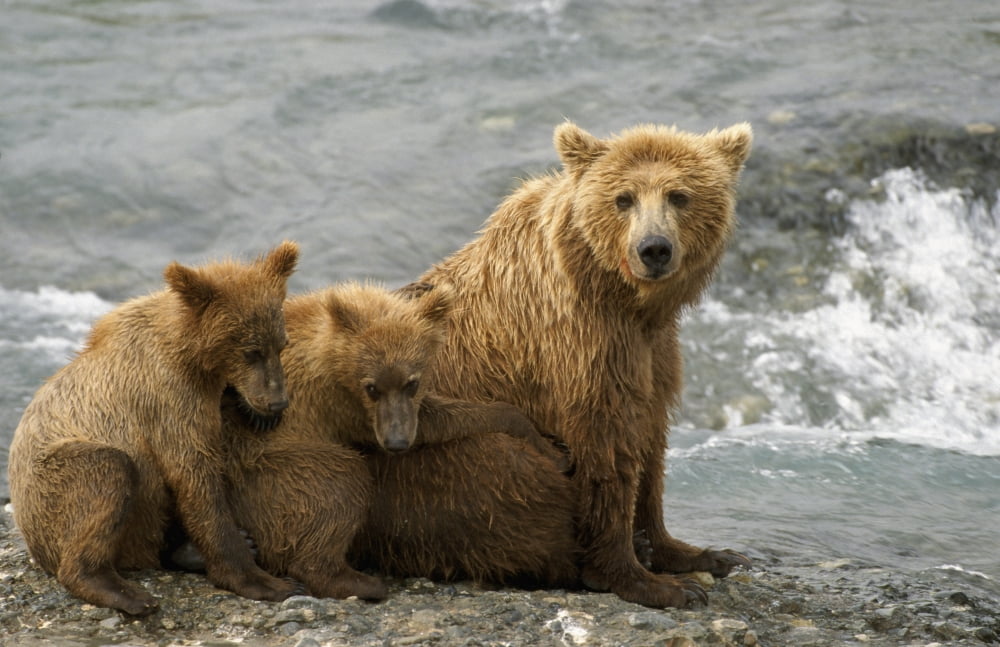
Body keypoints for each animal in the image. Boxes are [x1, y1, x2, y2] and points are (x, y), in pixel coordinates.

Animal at [7, 241, 301, 615]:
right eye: (251, 351)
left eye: (282, 344)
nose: (278, 403)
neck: (189, 354)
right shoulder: (166, 399)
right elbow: (196, 478)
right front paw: (265, 581)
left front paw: (254, 411)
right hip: (50, 488)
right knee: (109, 472)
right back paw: (127, 593)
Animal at [221, 281, 578, 595]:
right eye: (371, 387)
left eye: (411, 382)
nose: (396, 443)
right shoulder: (339, 403)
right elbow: (442, 419)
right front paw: (555, 450)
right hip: (272, 468)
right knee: (341, 482)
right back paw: (362, 582)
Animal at [372, 121, 754, 608]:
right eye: (624, 198)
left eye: (679, 196)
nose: (654, 249)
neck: (621, 298)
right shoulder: (577, 345)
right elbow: (604, 447)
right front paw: (648, 580)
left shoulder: (653, 353)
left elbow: (650, 441)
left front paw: (696, 553)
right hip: (424, 459)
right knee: (506, 464)